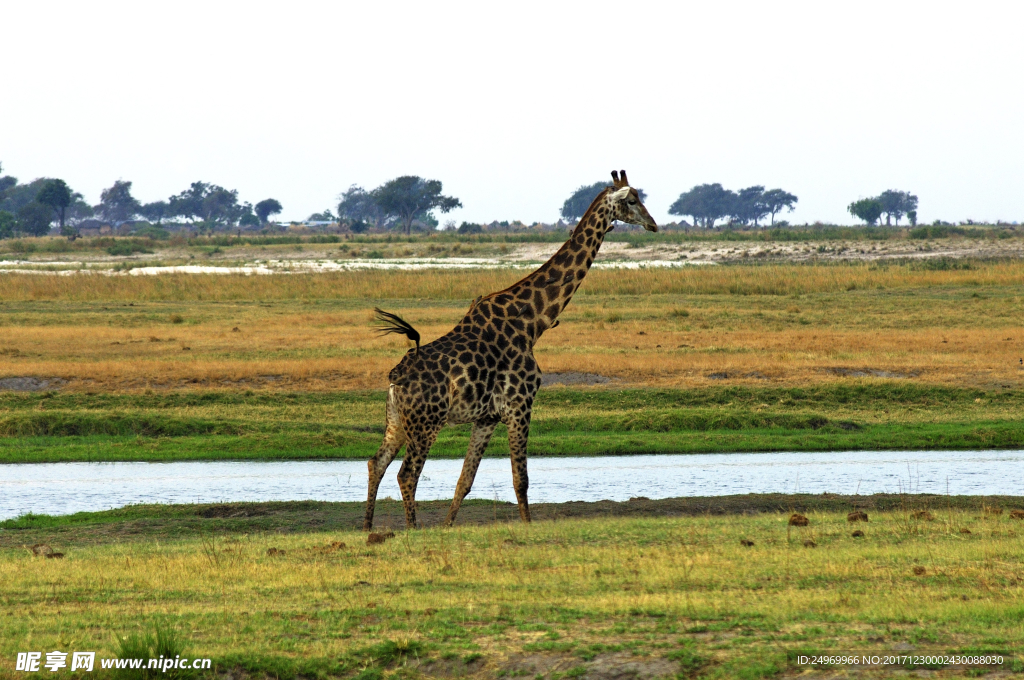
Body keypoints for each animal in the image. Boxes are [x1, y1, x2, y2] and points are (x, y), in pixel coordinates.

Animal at [364, 170, 659, 532]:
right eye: (631, 200)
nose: (653, 224)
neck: (532, 324)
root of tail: (395, 379)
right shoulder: (520, 405)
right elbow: (521, 479)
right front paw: (528, 527)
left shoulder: (487, 417)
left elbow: (465, 480)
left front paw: (448, 527)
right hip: (426, 423)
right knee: (407, 475)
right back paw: (412, 531)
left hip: (397, 421)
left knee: (376, 463)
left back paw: (366, 529)